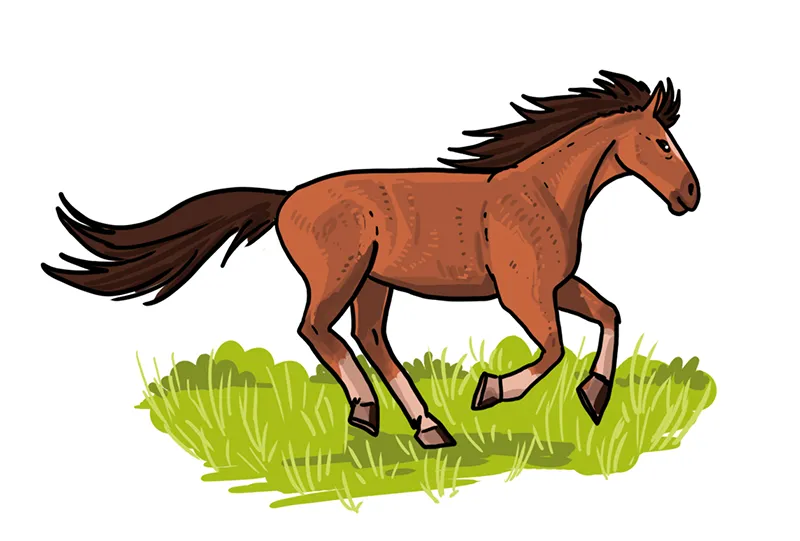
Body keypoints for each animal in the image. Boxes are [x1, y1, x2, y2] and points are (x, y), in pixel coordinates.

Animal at [42, 71, 699, 450]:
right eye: (661, 143)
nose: (691, 196)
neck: (542, 192)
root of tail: (284, 200)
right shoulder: (524, 295)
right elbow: (555, 349)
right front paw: (489, 391)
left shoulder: (557, 285)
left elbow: (609, 312)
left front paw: (595, 396)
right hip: (342, 277)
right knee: (316, 330)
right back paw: (370, 411)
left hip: (375, 284)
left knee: (369, 338)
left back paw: (428, 428)